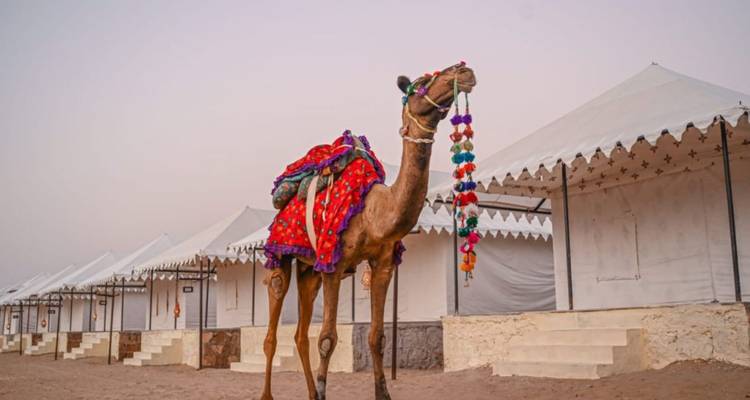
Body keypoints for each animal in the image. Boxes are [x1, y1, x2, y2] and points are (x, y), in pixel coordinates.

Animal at [261, 62, 477, 400]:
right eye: (421, 83)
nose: (463, 70)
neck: (374, 214)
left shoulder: (383, 264)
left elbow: (377, 337)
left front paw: (382, 393)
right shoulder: (333, 263)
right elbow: (328, 338)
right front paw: (324, 390)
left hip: (309, 270)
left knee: (299, 334)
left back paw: (310, 393)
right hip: (281, 254)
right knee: (272, 330)